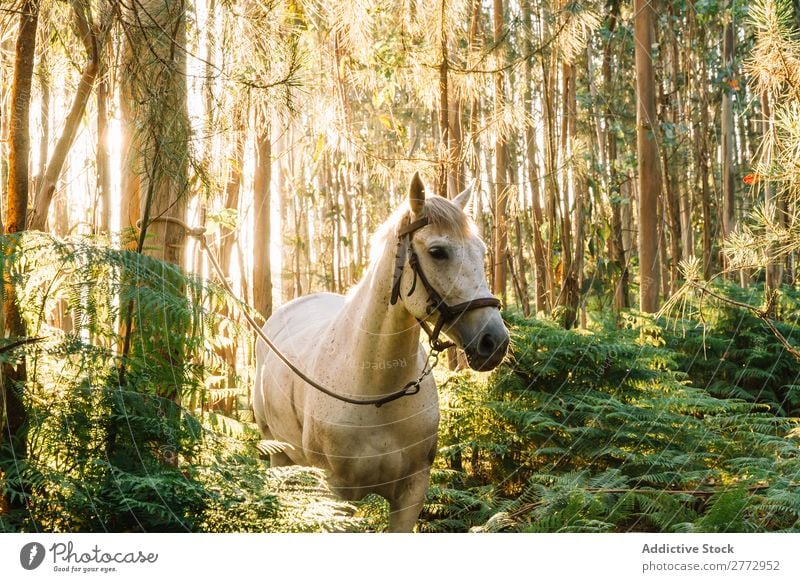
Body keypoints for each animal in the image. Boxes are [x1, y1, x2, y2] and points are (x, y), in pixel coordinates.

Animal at [253, 173, 510, 532]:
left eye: (481, 251)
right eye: (438, 252)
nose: (494, 341)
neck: (376, 388)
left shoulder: (412, 492)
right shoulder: (336, 498)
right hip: (278, 455)